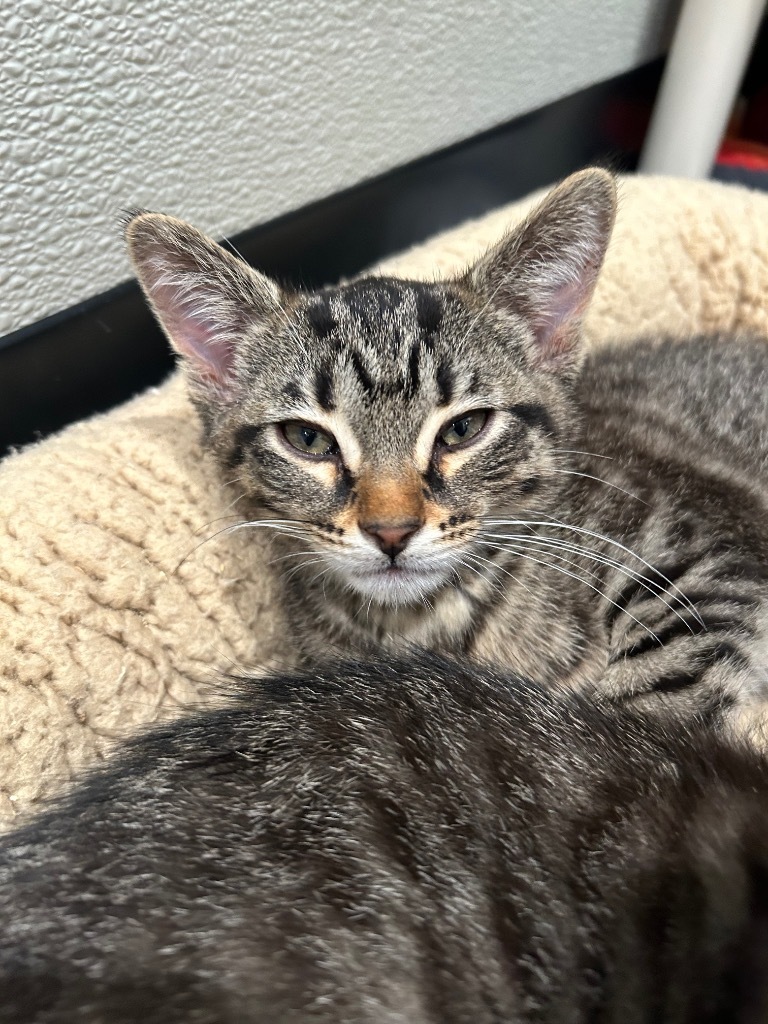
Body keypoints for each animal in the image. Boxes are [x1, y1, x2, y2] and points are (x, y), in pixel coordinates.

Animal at [124, 169, 768, 720]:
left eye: (463, 429)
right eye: (307, 439)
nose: (391, 532)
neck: (424, 624)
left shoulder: (706, 543)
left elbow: (656, 698)